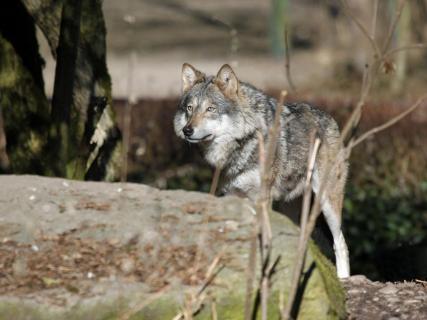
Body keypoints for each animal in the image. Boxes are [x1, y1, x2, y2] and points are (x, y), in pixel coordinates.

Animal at [174, 62, 352, 278]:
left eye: (210, 109)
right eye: (190, 108)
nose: (187, 130)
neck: (244, 142)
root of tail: (331, 119)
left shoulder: (262, 199)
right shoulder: (232, 196)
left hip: (326, 203)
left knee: (340, 242)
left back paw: (343, 278)